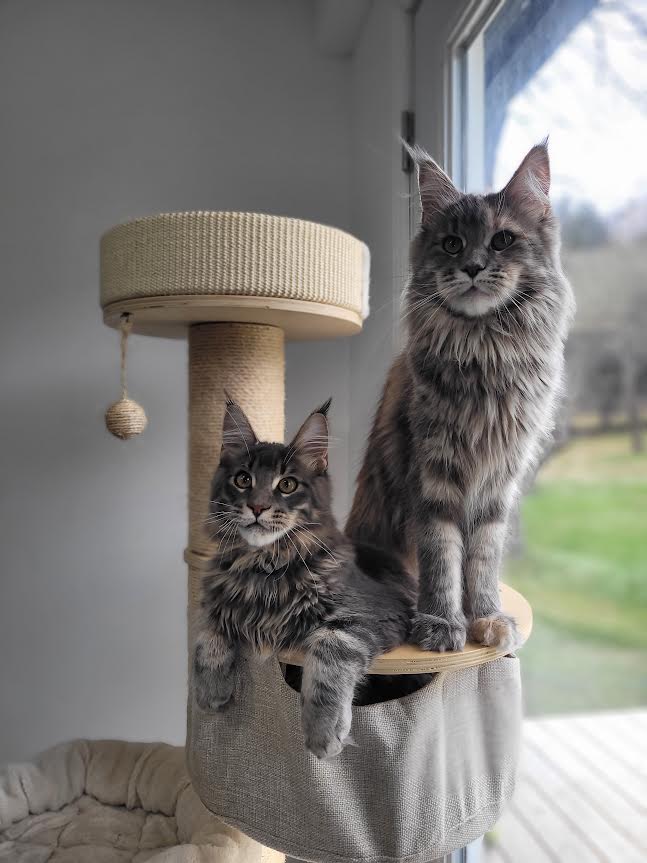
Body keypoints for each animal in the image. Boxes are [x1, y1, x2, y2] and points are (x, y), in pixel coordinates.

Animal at [193, 396, 419, 759]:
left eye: (287, 485)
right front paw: (210, 691)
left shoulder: (378, 612)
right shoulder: (213, 591)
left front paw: (322, 733)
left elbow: (330, 646)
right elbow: (207, 628)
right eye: (243, 479)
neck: (264, 567)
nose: (257, 507)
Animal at [346, 142, 575, 654]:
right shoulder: (434, 476)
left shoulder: (498, 482)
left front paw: (486, 618)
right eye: (452, 244)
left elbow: (483, 560)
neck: (484, 351)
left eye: (502, 241)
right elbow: (442, 557)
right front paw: (442, 624)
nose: (471, 267)